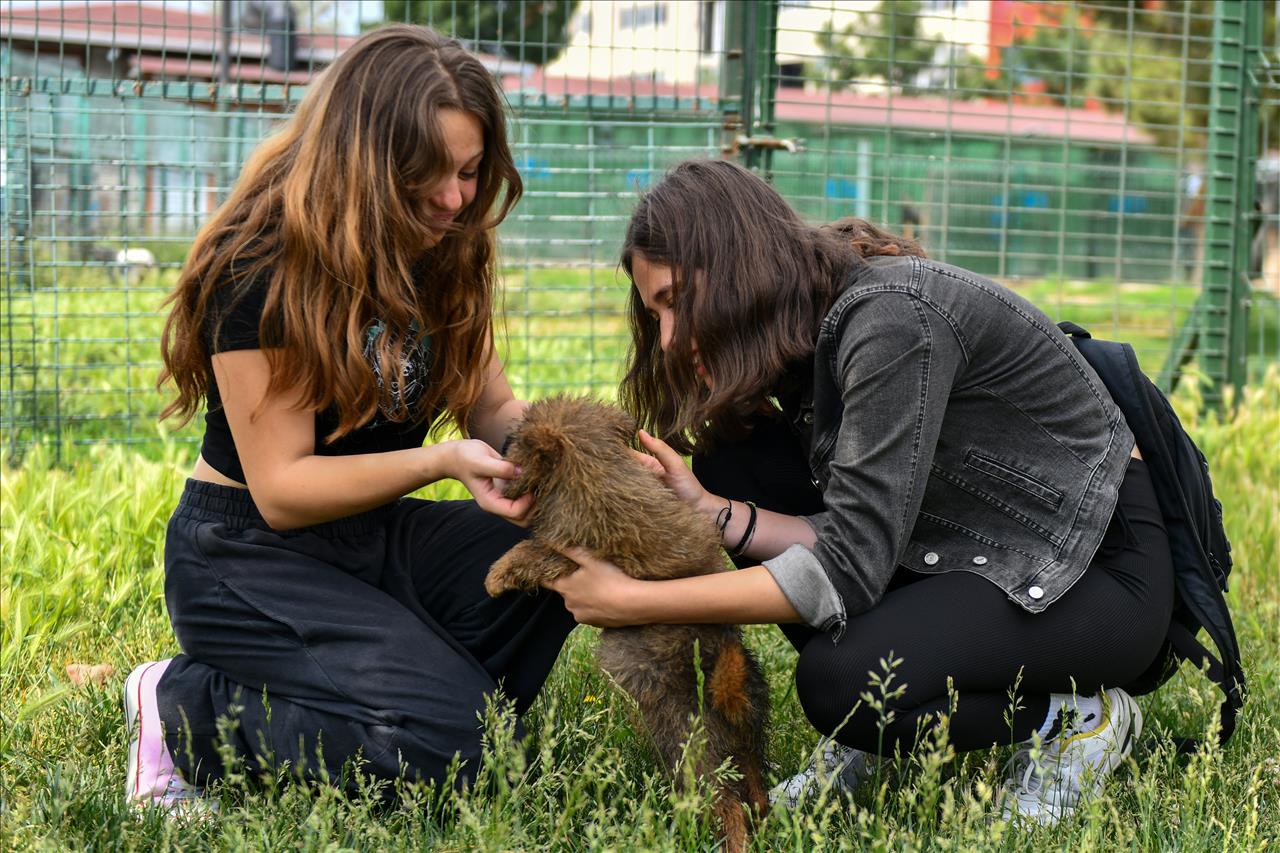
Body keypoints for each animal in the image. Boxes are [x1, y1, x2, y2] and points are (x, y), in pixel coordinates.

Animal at [483, 394, 768, 845]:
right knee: (756, 793)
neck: (597, 465)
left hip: (688, 749)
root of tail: (727, 685)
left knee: (728, 807)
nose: (501, 448)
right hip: (746, 746)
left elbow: (531, 552)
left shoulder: (570, 553)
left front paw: (496, 576)